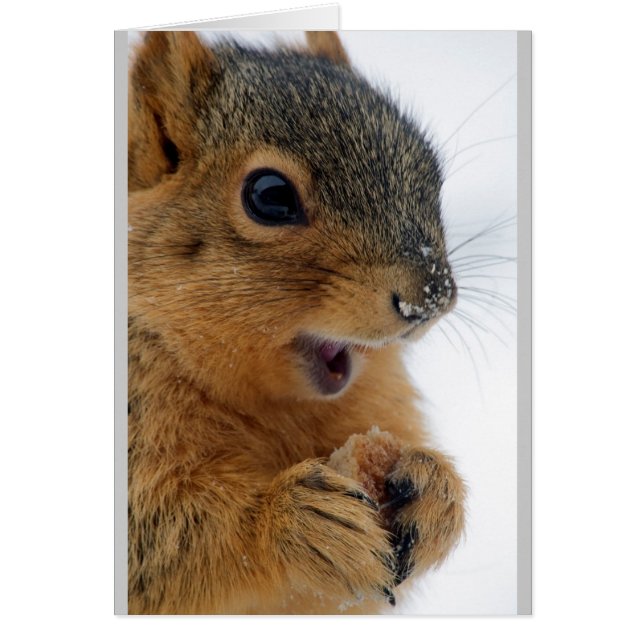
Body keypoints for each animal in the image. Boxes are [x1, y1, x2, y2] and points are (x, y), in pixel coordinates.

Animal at [127, 30, 466, 614]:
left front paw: (435, 489)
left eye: (431, 171)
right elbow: (158, 539)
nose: (430, 299)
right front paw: (293, 520)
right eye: (269, 195)